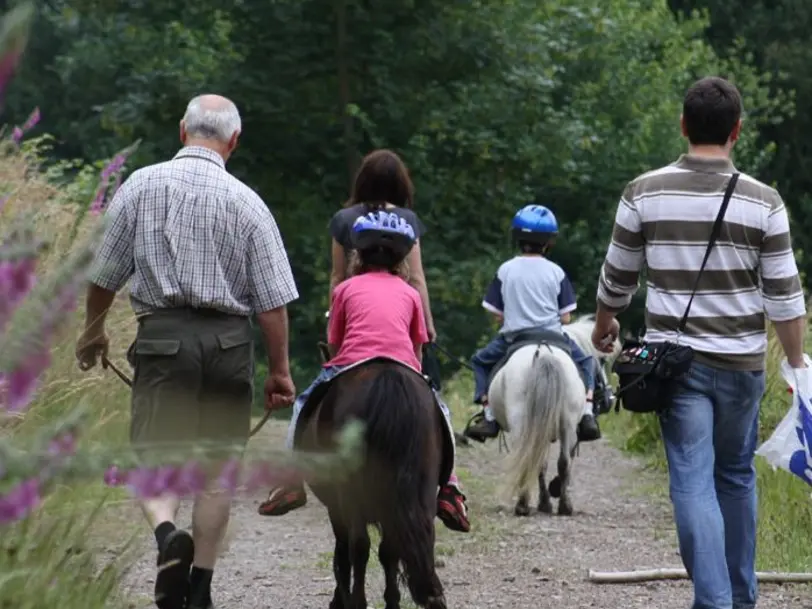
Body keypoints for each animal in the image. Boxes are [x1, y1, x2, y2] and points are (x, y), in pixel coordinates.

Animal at [294, 358, 448, 608]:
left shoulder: (336, 508)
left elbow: (343, 551)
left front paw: (339, 599)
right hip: (420, 490)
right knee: (403, 542)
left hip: (350, 494)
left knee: (358, 546)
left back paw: (357, 600)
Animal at [488, 316, 620, 516]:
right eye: (603, 361)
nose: (608, 399)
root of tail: (543, 352)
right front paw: (551, 493)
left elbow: (543, 464)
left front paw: (547, 499)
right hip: (565, 425)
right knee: (561, 462)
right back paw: (560, 505)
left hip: (526, 423)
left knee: (533, 457)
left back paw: (526, 504)